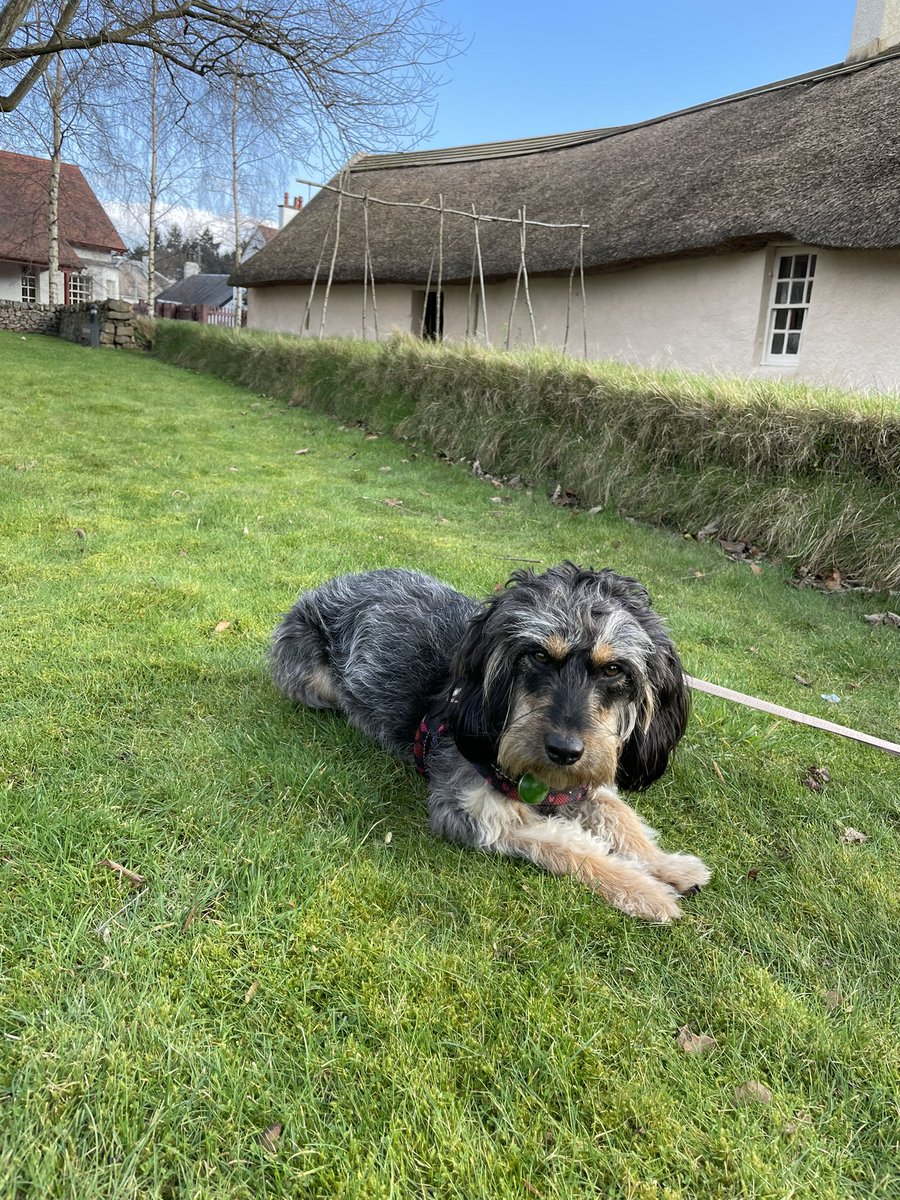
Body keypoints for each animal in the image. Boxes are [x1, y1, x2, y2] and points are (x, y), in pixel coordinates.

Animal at [267, 559, 710, 916]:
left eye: (614, 669)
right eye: (539, 655)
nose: (564, 751)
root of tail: (330, 584)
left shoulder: (584, 781)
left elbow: (621, 818)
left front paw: (668, 865)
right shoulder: (473, 811)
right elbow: (569, 844)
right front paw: (643, 890)